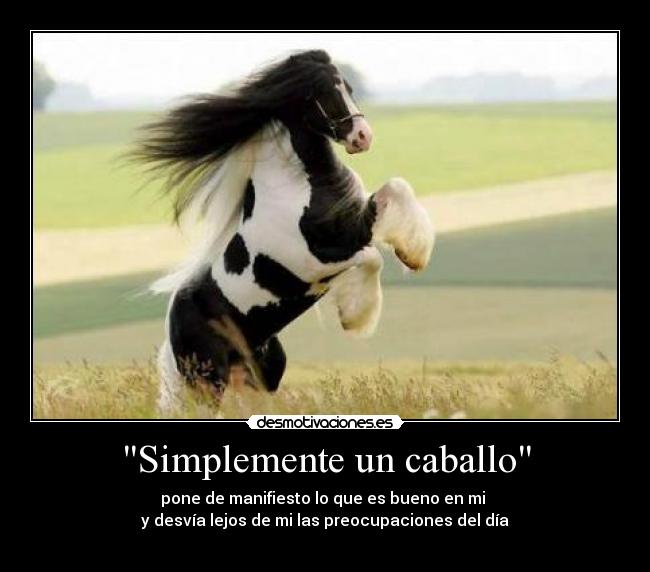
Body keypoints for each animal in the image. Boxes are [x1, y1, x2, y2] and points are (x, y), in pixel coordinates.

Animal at [134, 50, 434, 413]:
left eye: (348, 87)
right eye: (323, 93)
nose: (363, 136)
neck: (298, 187)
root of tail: (171, 326)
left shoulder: (353, 225)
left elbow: (397, 187)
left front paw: (414, 254)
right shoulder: (313, 259)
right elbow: (372, 257)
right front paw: (353, 318)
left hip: (260, 372)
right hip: (208, 380)